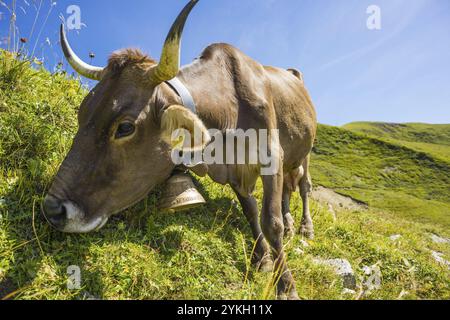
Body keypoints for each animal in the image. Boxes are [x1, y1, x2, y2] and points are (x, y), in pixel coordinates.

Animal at [41, 0, 316, 300]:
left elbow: (270, 222)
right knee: (288, 189)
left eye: (125, 127)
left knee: (303, 186)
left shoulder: (271, 156)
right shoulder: (237, 172)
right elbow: (251, 211)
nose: (53, 209)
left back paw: (304, 227)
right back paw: (291, 224)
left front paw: (286, 285)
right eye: (81, 113)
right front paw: (262, 258)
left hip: (304, 154)